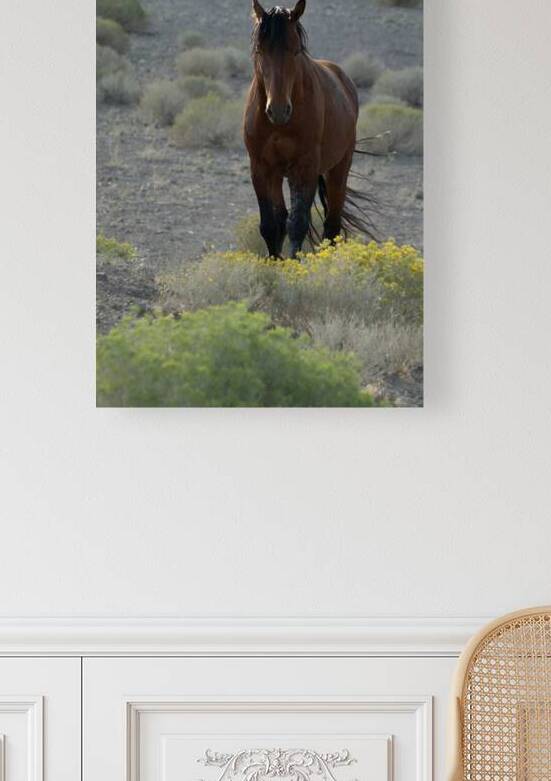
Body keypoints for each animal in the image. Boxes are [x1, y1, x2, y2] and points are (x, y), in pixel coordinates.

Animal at [244, 0, 373, 259]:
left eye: (296, 51)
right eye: (260, 51)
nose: (278, 110)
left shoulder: (305, 169)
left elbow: (298, 224)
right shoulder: (260, 168)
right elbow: (270, 226)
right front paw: (275, 263)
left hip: (338, 169)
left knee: (332, 226)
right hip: (278, 175)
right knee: (283, 219)